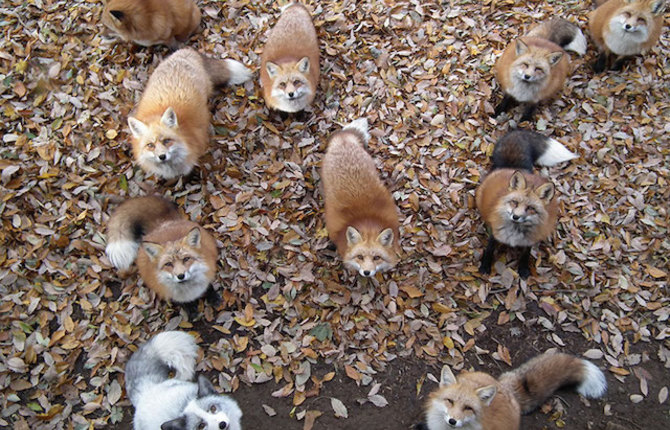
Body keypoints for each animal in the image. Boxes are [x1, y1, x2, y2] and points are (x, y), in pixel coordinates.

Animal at [476, 130, 577, 278]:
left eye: (530, 208)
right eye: (514, 202)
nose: (515, 217)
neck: (515, 233)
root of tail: (513, 167)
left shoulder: (530, 240)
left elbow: (526, 255)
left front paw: (523, 269)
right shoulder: (495, 234)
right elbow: (489, 249)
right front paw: (485, 265)